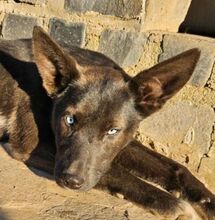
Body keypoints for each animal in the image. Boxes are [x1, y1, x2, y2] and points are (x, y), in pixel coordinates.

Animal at [0, 26, 214, 219]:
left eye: (112, 130)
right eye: (70, 120)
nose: (70, 181)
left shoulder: (124, 138)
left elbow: (176, 167)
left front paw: (207, 200)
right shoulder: (30, 146)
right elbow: (114, 170)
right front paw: (170, 203)